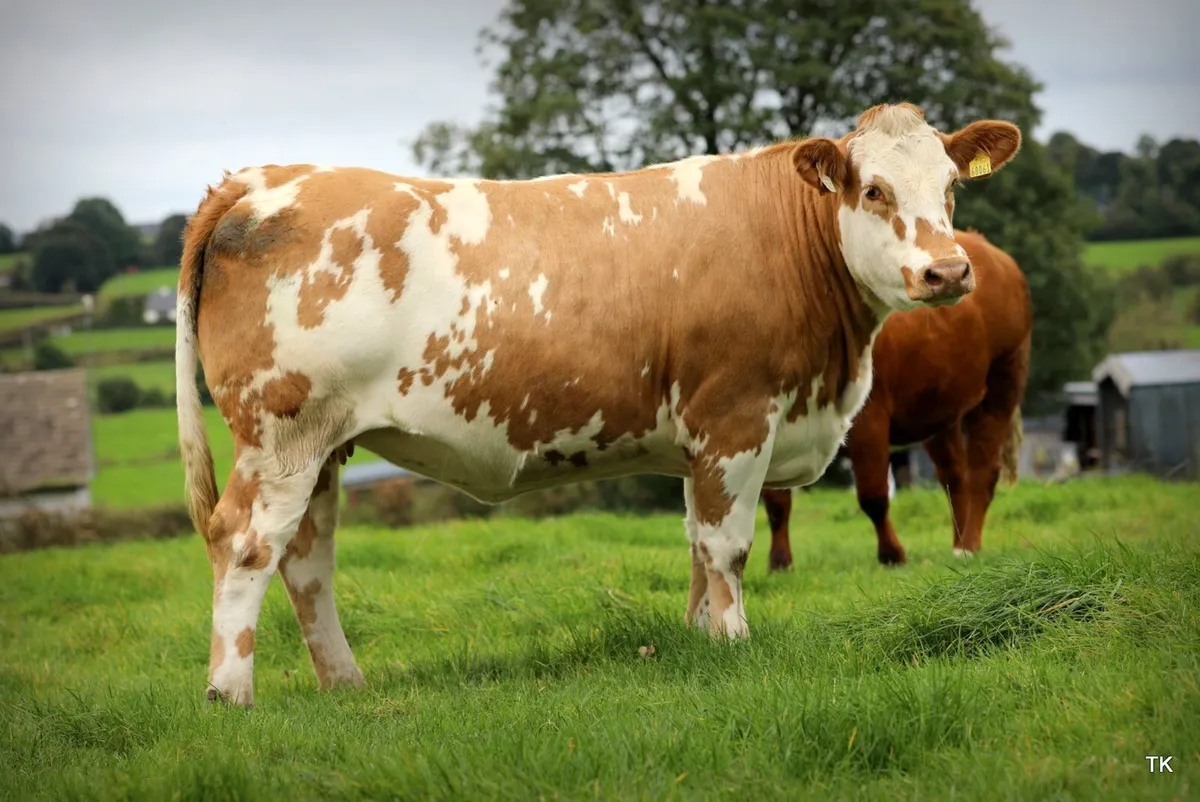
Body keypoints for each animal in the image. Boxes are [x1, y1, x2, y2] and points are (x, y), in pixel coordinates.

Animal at [761, 229, 1032, 570]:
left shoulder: (870, 418)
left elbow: (873, 495)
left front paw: (892, 554)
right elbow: (776, 501)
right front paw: (780, 563)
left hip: (1003, 381)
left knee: (982, 470)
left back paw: (969, 545)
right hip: (938, 404)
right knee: (954, 475)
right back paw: (957, 545)